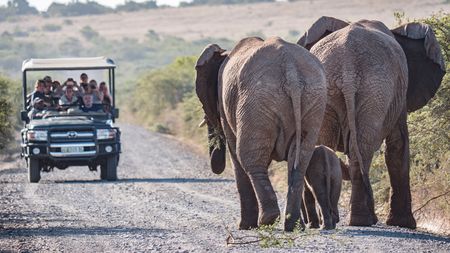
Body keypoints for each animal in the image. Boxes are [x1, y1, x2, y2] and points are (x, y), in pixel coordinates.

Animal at [195, 37, 326, 231]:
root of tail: (291, 69)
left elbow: (236, 156)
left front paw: (244, 226)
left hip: (255, 102)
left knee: (249, 159)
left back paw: (267, 221)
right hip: (313, 99)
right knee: (299, 163)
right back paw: (293, 226)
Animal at [298, 16, 444, 228]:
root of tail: (347, 67)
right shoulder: (399, 95)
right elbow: (398, 145)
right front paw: (404, 224)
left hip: (333, 89)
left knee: (333, 147)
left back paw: (336, 220)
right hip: (376, 89)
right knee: (363, 148)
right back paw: (362, 220)